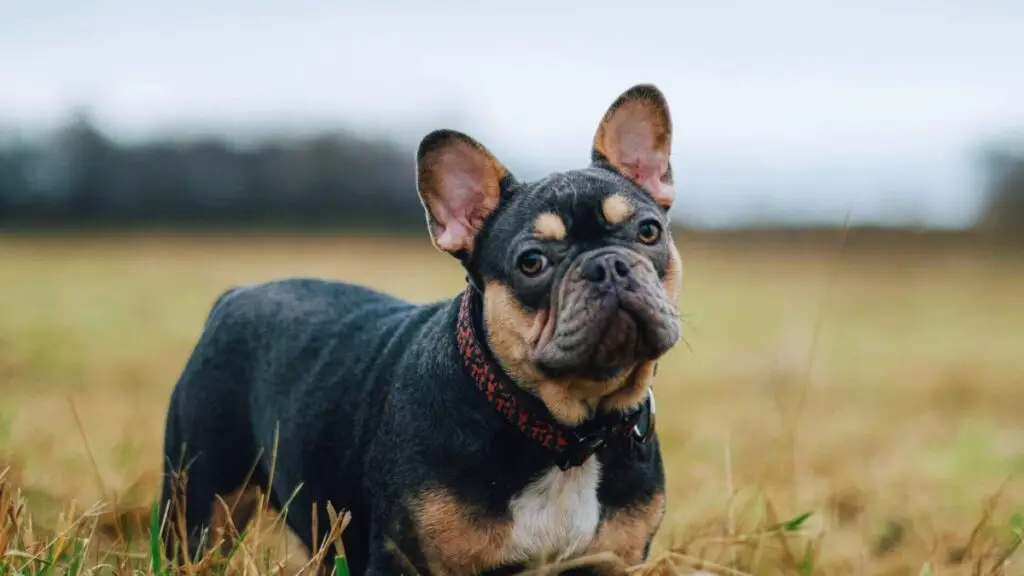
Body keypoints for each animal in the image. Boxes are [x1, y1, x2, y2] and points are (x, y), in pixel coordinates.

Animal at [159, 83, 684, 569]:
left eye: (649, 231)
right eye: (532, 262)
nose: (608, 265)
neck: (567, 434)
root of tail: (236, 295)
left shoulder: (613, 560)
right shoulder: (403, 559)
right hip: (200, 500)